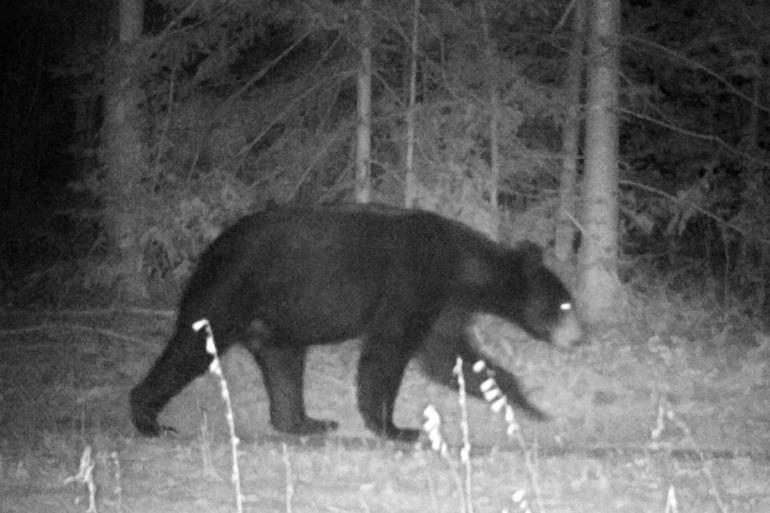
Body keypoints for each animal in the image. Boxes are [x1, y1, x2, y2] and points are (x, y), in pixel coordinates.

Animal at [129, 204, 580, 440]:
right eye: (564, 305)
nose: (579, 337)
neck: (460, 267)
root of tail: (211, 248)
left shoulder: (442, 306)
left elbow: (450, 356)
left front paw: (530, 405)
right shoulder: (411, 286)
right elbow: (387, 353)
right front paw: (396, 427)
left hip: (278, 320)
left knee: (284, 364)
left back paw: (306, 422)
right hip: (231, 289)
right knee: (192, 345)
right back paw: (149, 419)